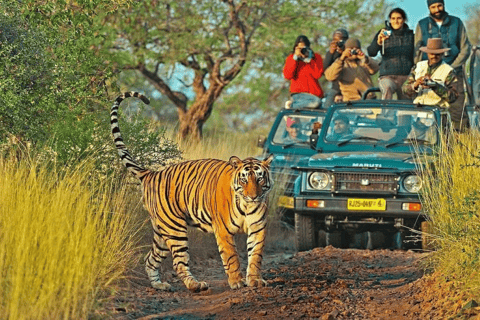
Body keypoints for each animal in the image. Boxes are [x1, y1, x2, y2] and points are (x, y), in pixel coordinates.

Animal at [109, 91, 274, 292]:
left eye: (259, 179)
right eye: (244, 180)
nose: (253, 196)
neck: (246, 205)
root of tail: (151, 173)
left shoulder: (258, 228)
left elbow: (256, 256)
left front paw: (255, 280)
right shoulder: (224, 231)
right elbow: (232, 257)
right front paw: (237, 282)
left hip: (161, 232)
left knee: (150, 259)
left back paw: (160, 285)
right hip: (174, 228)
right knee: (179, 263)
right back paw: (195, 285)